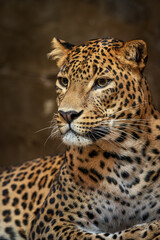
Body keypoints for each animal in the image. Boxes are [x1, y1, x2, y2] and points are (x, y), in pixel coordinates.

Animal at [0, 36, 160, 240]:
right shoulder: (51, 220)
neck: (127, 155)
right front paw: (147, 229)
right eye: (63, 81)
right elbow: (101, 236)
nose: (67, 114)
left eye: (101, 82)